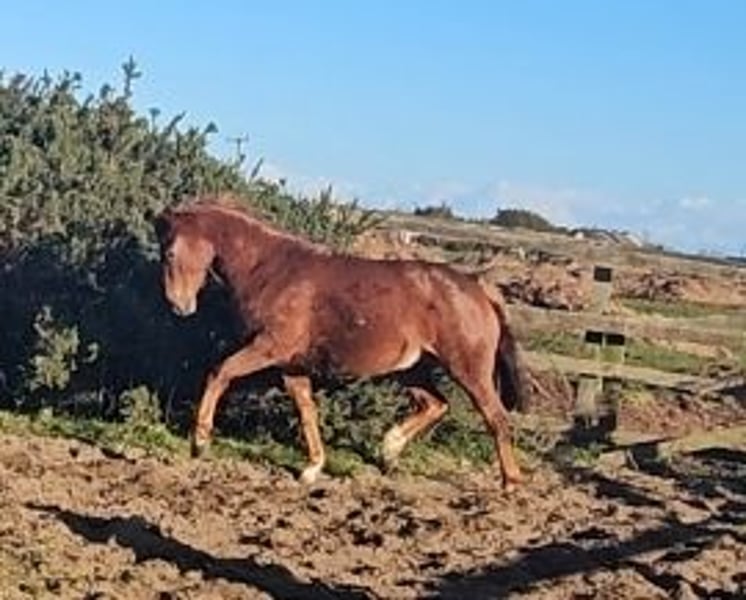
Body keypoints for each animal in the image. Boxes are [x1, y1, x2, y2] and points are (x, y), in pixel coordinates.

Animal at [154, 196, 529, 490]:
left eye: (169, 253)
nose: (178, 306)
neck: (270, 269)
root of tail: (478, 286)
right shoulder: (291, 364)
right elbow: (306, 410)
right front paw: (312, 468)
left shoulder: (269, 347)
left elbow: (219, 372)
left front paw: (200, 442)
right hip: (411, 369)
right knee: (436, 405)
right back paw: (388, 451)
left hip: (468, 370)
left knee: (496, 418)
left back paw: (510, 482)